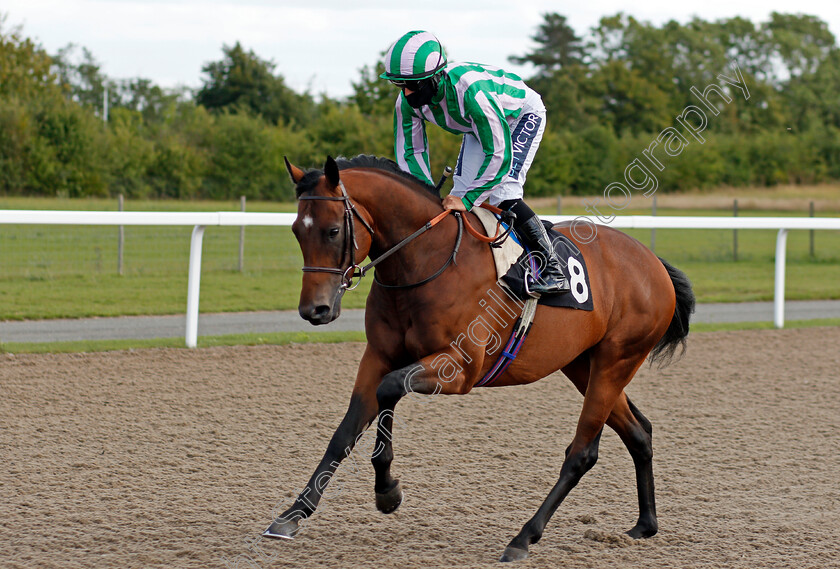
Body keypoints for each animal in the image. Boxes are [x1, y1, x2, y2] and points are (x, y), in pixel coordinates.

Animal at [266, 153, 692, 560]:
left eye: (333, 230)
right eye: (296, 230)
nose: (315, 310)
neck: (426, 261)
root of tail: (654, 263)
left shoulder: (460, 369)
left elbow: (390, 389)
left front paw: (387, 490)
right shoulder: (378, 356)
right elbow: (344, 432)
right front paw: (292, 514)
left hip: (616, 361)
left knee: (582, 452)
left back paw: (523, 537)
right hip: (583, 365)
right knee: (638, 431)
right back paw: (645, 524)